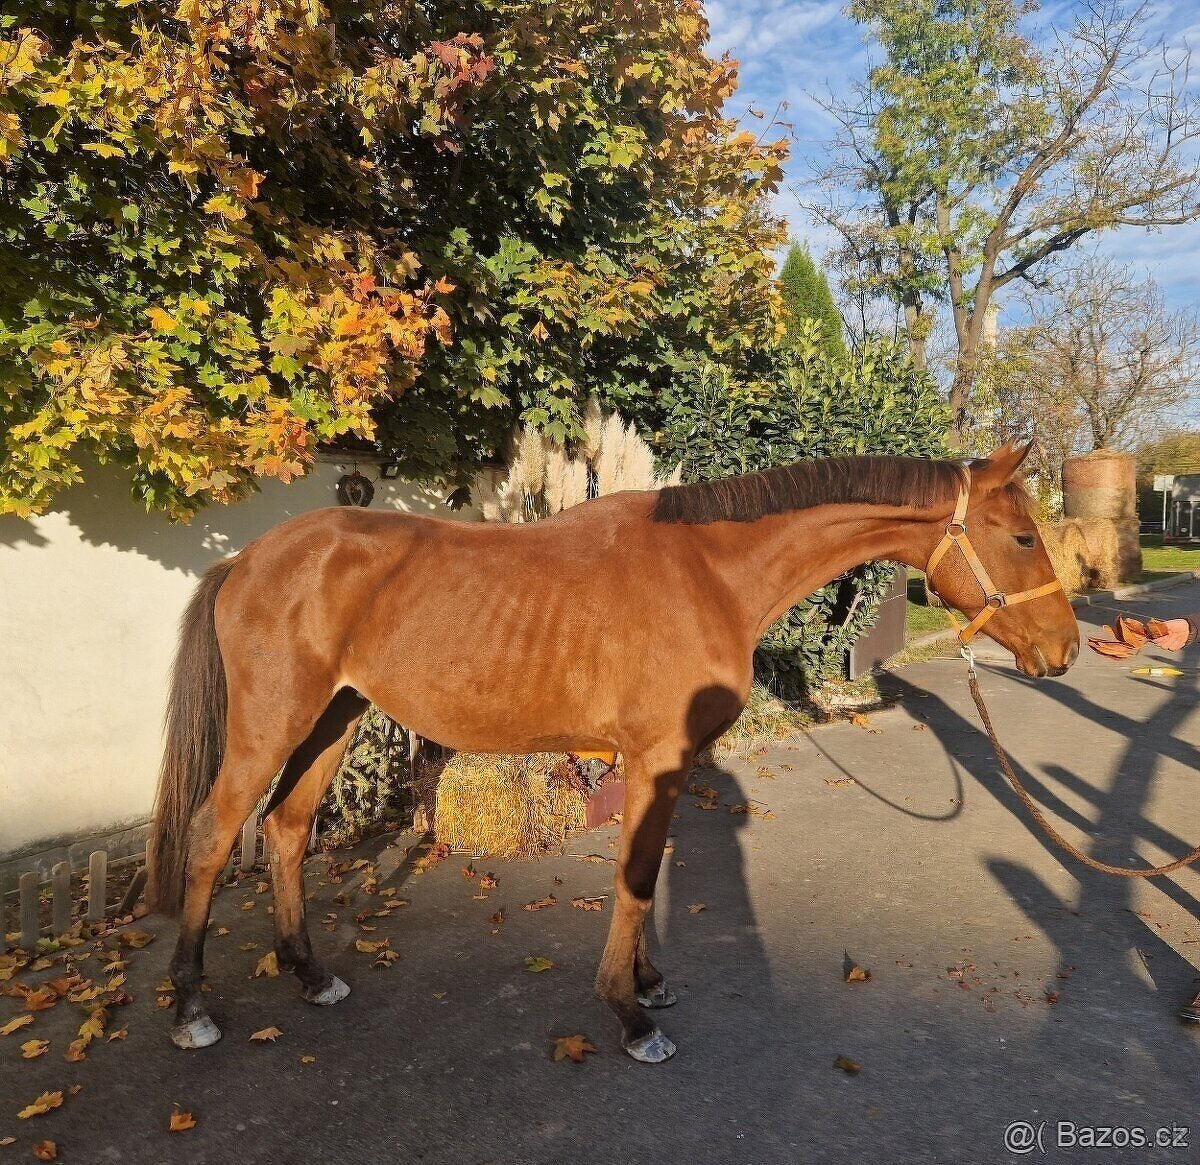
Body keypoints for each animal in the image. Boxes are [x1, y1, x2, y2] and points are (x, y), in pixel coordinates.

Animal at [147, 446, 1080, 1065]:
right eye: (1022, 536)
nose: (1065, 650)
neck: (709, 570)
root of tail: (248, 559)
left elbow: (649, 871)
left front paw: (647, 981)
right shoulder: (658, 756)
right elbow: (633, 879)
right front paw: (631, 1015)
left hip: (333, 717)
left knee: (287, 828)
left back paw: (310, 975)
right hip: (271, 724)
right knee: (213, 835)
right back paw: (190, 1006)